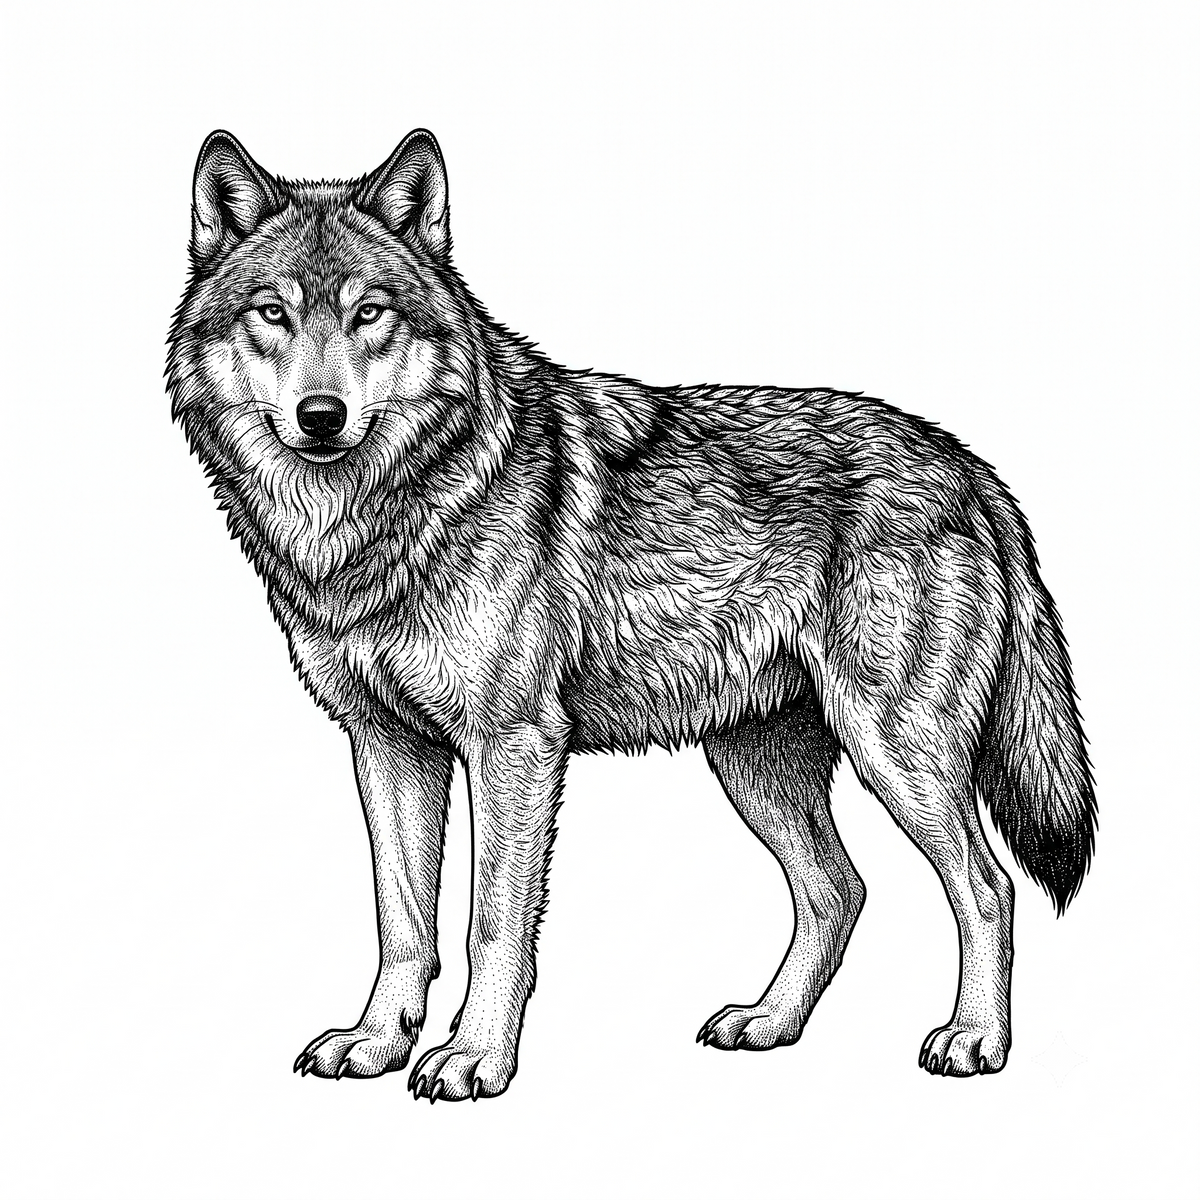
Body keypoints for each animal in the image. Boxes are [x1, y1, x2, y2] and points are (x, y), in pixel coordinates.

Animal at [167, 128, 1096, 1101]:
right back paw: (770, 1023)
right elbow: (403, 923)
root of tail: (969, 464)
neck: (378, 516)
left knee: (986, 888)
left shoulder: (513, 746)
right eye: (273, 313)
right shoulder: (387, 745)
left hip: (898, 755)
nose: (321, 415)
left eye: (369, 314)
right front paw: (378, 1042)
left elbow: (490, 923)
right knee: (840, 891)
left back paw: (975, 1039)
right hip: (756, 768)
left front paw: (474, 1056)